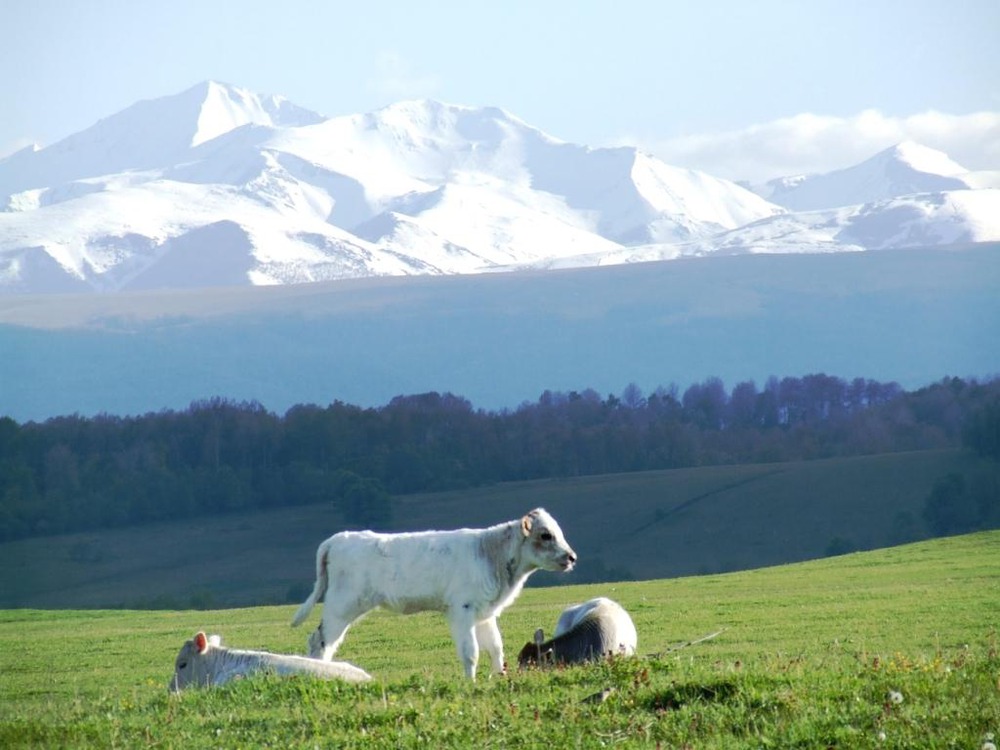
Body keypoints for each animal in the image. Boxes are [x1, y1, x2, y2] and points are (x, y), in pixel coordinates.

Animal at [290, 512, 580, 680]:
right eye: (546, 535)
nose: (572, 557)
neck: (491, 554)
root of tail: (339, 538)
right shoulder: (462, 610)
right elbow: (471, 651)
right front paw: (470, 684)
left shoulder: (485, 613)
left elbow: (496, 647)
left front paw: (499, 678)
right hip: (341, 606)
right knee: (322, 640)